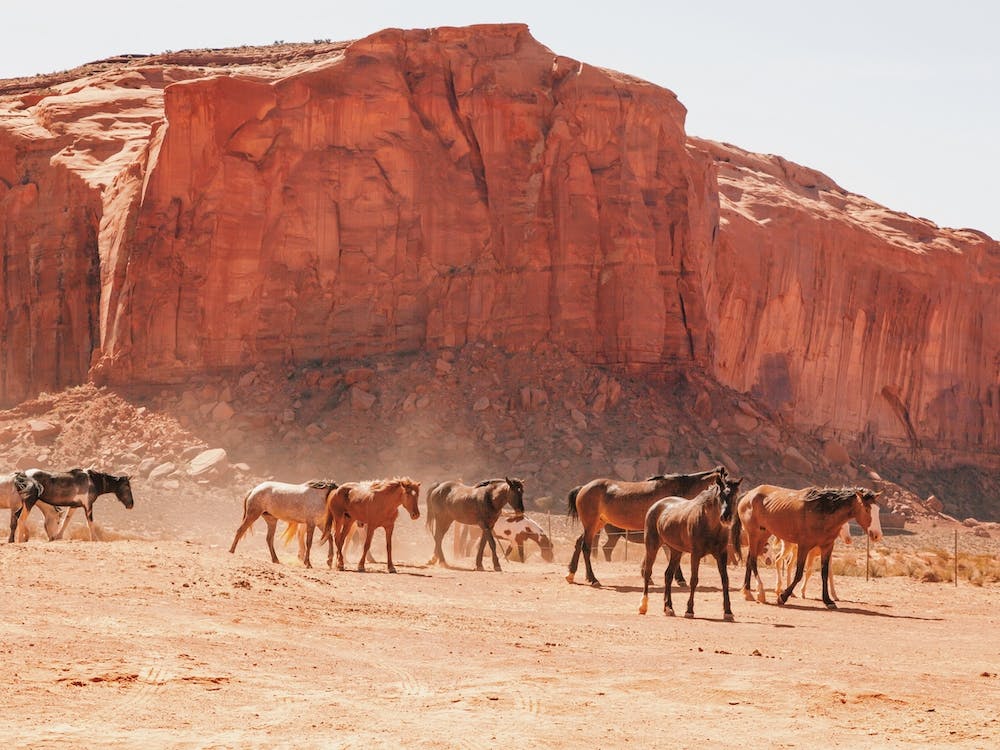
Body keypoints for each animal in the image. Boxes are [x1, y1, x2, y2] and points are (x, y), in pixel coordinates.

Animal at [567, 466, 728, 587]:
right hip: (591, 524)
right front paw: (680, 579)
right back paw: (593, 579)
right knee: (586, 547)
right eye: (724, 488)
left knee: (579, 542)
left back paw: (572, 574)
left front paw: (647, 575)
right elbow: (670, 553)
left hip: (596, 524)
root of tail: (583, 488)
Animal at [638, 475, 743, 620]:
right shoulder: (696, 554)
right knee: (648, 572)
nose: (726, 517)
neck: (710, 525)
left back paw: (668, 608)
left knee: (668, 575)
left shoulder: (722, 554)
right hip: (652, 546)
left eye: (735, 495)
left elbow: (725, 580)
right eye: (720, 495)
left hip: (676, 551)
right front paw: (689, 610)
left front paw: (728, 612)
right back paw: (643, 606)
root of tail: (656, 505)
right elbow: (694, 580)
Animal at [731, 485, 882, 609]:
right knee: (753, 561)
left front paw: (828, 600)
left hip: (763, 535)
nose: (877, 535)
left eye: (878, 509)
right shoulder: (804, 546)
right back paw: (760, 592)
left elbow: (824, 573)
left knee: (750, 560)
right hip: (753, 534)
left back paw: (747, 592)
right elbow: (798, 574)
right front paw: (783, 597)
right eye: (867, 509)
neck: (821, 512)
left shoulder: (827, 547)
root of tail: (748, 494)